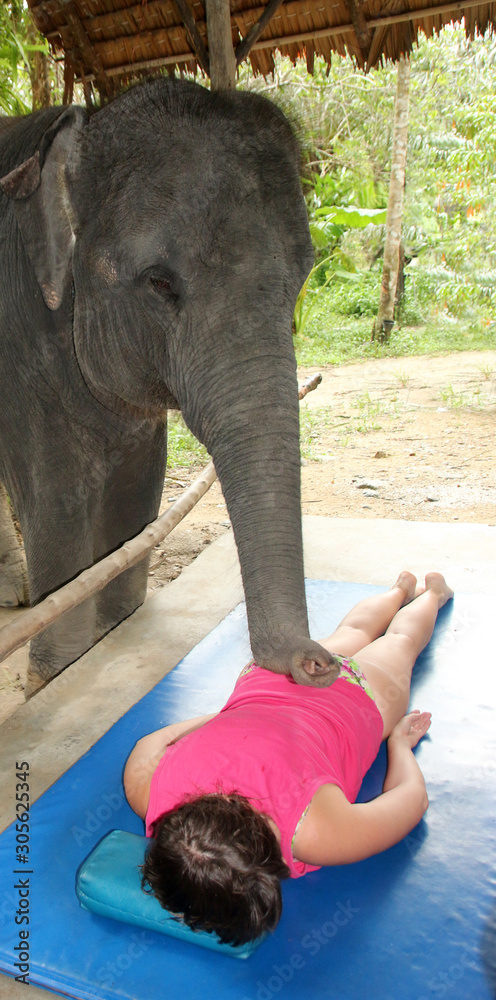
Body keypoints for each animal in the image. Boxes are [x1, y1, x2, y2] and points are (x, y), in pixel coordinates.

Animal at [0, 78, 340, 696]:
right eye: (159, 283)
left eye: (303, 273)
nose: (317, 664)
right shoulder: (15, 349)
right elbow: (58, 509)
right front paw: (52, 678)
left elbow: (137, 500)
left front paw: (114, 636)